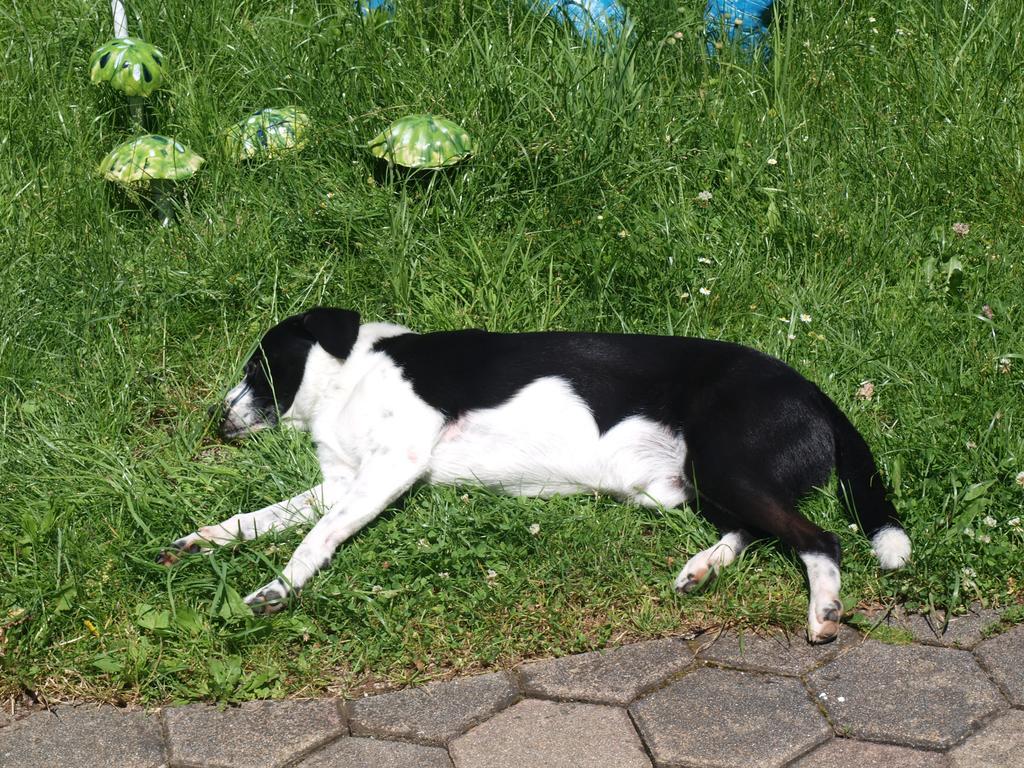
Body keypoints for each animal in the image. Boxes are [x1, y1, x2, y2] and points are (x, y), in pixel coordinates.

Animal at [165, 309, 913, 643]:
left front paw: (275, 590)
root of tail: (813, 390)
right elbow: (257, 519)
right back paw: (702, 568)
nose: (218, 417)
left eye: (257, 366)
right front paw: (202, 541)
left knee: (820, 538)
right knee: (756, 532)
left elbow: (312, 539)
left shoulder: (387, 471)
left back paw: (823, 611)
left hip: (726, 465)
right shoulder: (343, 481)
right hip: (698, 484)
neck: (352, 375)